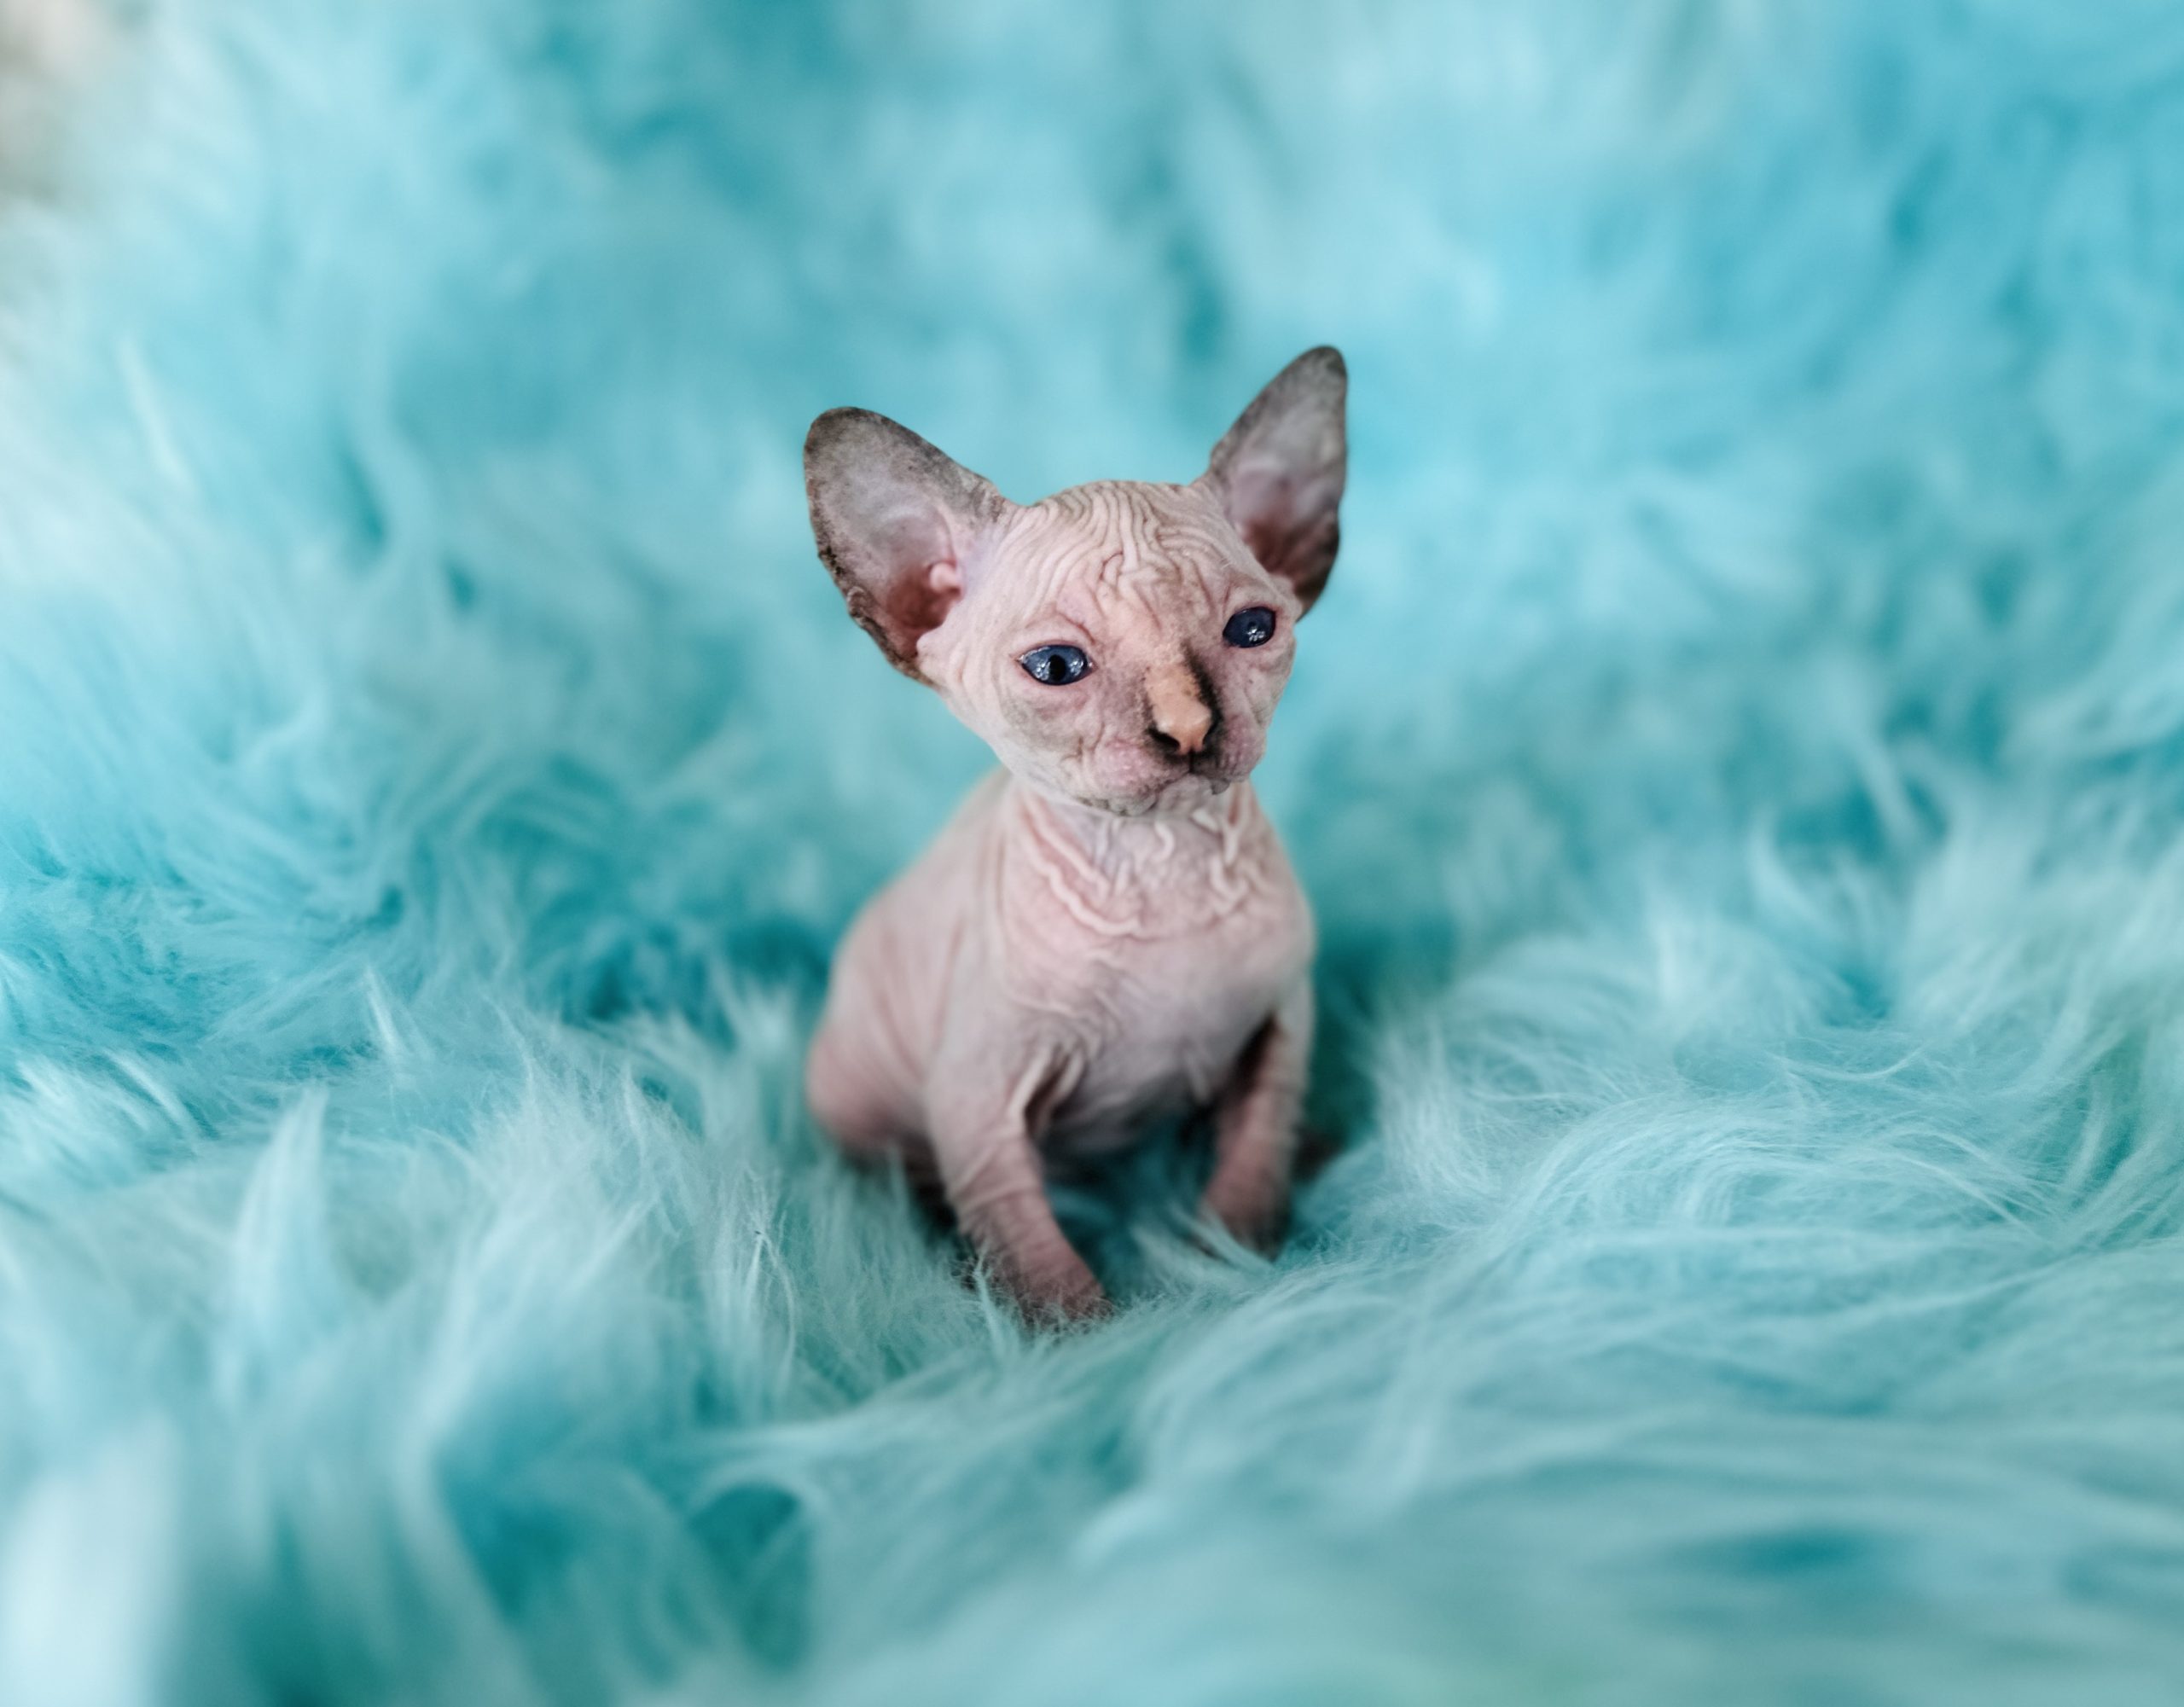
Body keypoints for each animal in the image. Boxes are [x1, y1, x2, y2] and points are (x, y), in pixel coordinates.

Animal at [804, 346, 1345, 1327]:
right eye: (1056, 668)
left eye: (1253, 629)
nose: (1189, 728)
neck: (1161, 866)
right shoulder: (975, 1100)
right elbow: (1026, 1237)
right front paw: (1086, 1339)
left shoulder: (1283, 1021)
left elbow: (1254, 1152)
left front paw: (1234, 1259)